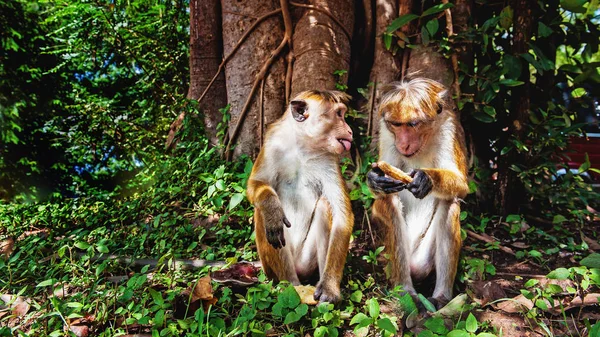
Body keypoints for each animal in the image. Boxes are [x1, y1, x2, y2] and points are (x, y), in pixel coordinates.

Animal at [246, 89, 354, 302]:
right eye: (339, 114)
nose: (350, 131)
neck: (303, 146)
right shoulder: (271, 144)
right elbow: (255, 184)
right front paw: (272, 209)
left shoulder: (330, 159)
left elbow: (342, 215)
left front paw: (330, 288)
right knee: (262, 214)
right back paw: (291, 287)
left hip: (306, 263)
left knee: (325, 205)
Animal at [366, 77, 468, 308]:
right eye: (396, 124)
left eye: (412, 124)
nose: (403, 143)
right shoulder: (387, 135)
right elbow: (382, 194)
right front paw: (375, 177)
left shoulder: (449, 129)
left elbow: (462, 185)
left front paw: (425, 179)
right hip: (388, 261)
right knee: (390, 202)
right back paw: (405, 290)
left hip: (423, 260)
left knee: (450, 203)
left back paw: (441, 296)